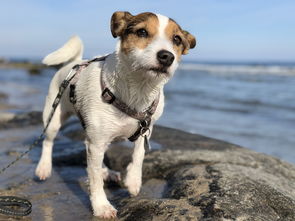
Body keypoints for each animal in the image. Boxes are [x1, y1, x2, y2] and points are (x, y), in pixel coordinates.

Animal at [35, 11, 197, 218]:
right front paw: (101, 206)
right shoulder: (96, 142)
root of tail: (74, 63)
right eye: (142, 32)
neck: (138, 90)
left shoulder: (145, 129)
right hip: (54, 118)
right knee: (49, 142)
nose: (166, 56)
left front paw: (134, 180)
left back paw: (107, 172)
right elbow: (95, 179)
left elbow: (139, 154)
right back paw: (44, 167)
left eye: (176, 39)